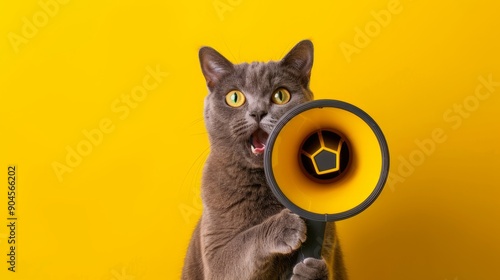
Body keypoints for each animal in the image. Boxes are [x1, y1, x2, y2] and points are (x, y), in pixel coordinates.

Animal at [183, 40, 348, 280]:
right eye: (234, 97)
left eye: (281, 95)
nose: (258, 112)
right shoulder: (215, 257)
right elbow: (244, 242)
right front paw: (286, 225)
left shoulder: (329, 243)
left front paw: (310, 270)